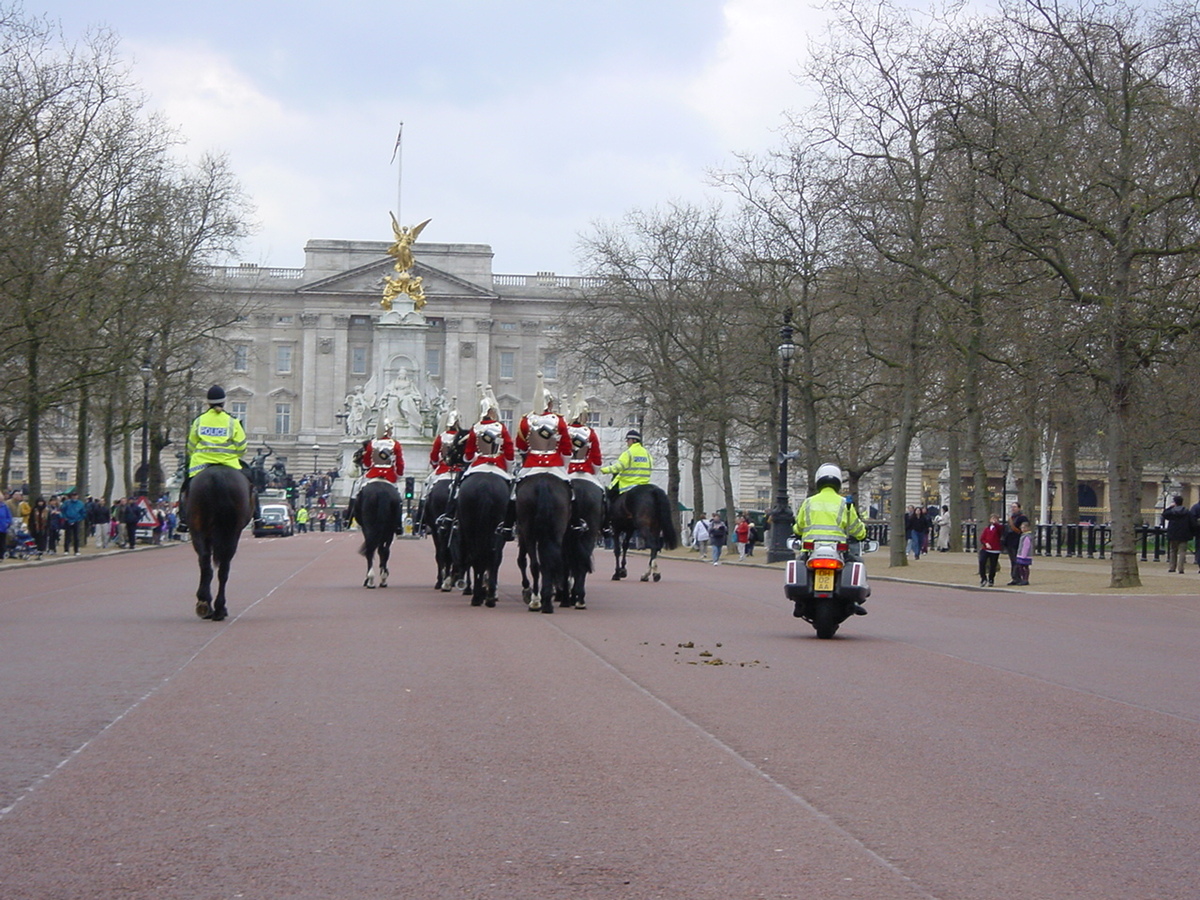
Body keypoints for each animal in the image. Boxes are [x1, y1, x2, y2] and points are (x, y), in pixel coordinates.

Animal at [184, 465, 253, 619]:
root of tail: (218, 475)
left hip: (200, 530)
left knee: (209, 564)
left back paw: (208, 604)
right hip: (229, 533)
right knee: (221, 568)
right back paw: (215, 607)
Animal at [516, 472, 571, 614]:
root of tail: (543, 483)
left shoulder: (522, 533)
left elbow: (522, 560)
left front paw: (527, 591)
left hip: (529, 533)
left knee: (536, 565)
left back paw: (536, 600)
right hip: (556, 533)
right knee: (551, 562)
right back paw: (548, 601)